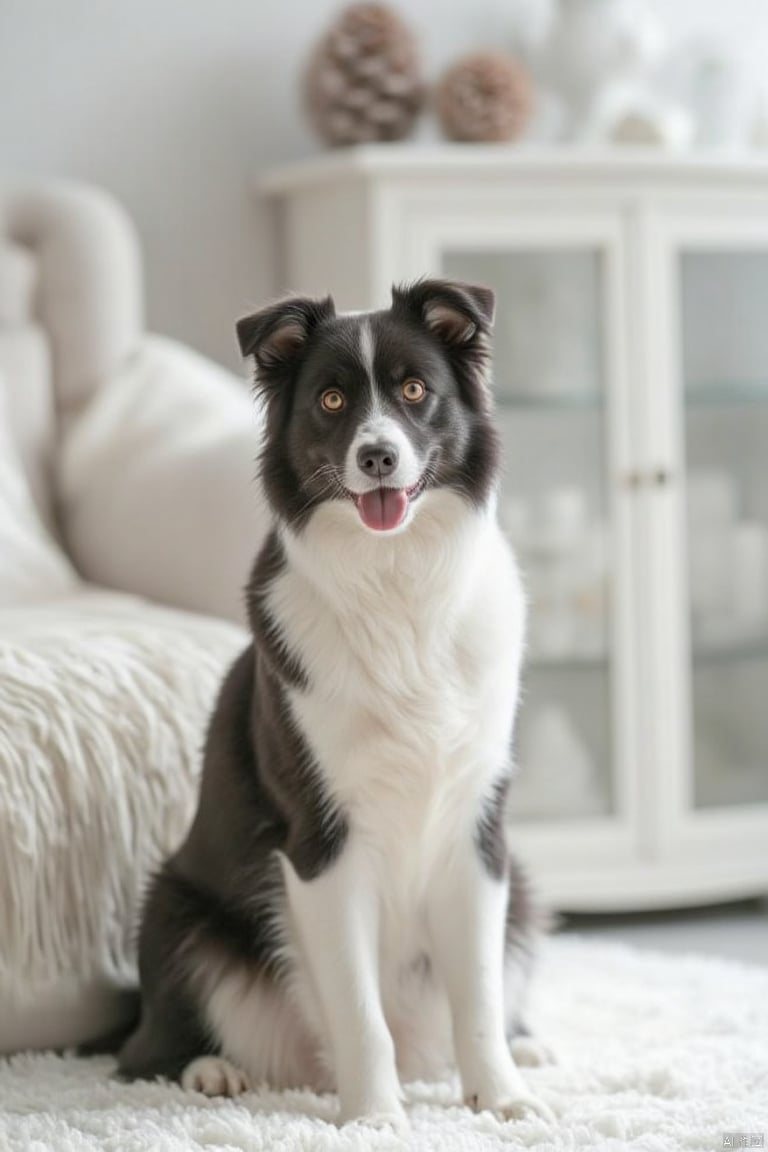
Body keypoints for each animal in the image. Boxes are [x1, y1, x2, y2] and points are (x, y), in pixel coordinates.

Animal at [117, 276, 552, 1124]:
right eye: (329, 400)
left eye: (415, 390)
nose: (377, 456)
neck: (396, 583)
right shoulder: (320, 841)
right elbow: (358, 1008)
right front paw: (377, 1117)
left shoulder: (478, 832)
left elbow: (479, 996)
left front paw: (500, 1098)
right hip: (174, 906)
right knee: (144, 1050)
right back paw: (212, 1071)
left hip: (521, 887)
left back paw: (527, 1048)